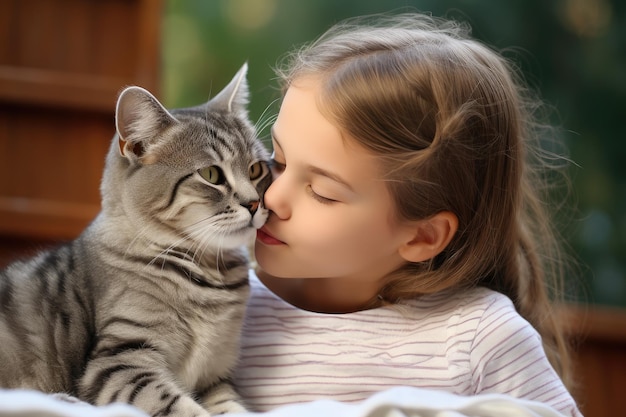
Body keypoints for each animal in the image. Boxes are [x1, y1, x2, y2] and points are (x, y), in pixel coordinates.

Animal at [0, 63, 270, 414]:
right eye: (211, 174)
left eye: (256, 169)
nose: (254, 203)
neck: (211, 274)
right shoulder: (119, 362)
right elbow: (178, 405)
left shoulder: (216, 375)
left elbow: (232, 406)